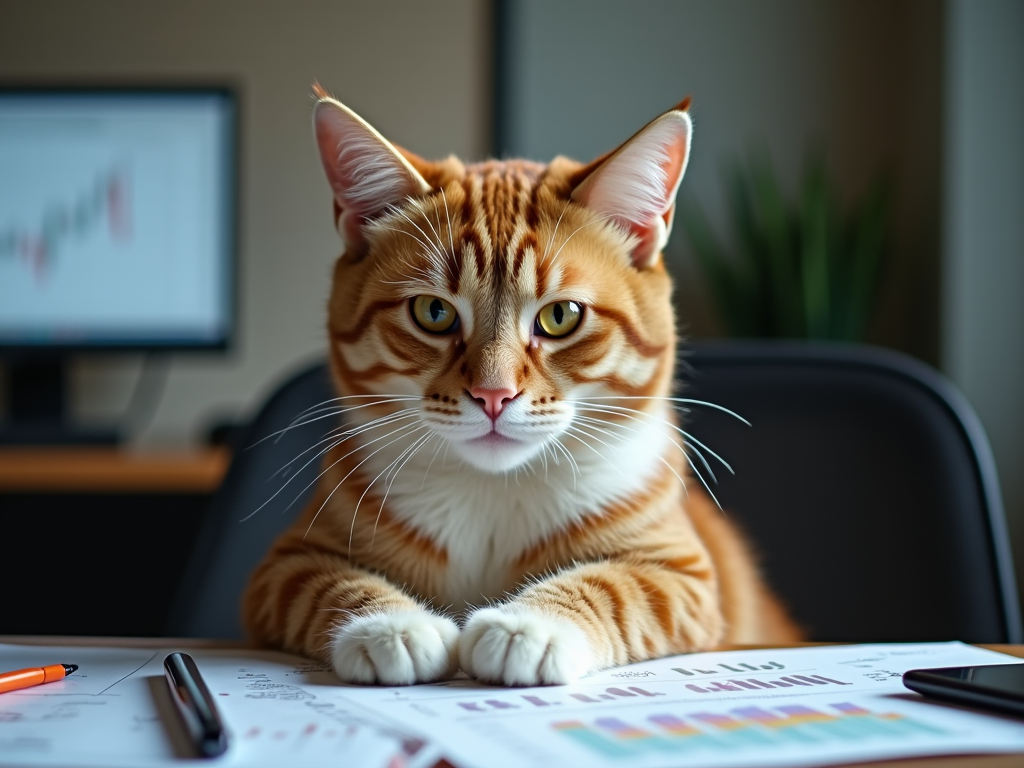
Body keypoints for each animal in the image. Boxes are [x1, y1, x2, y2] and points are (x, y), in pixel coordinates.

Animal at [241, 87, 798, 688]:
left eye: (561, 316)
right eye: (433, 312)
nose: (493, 395)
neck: (493, 493)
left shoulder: (683, 573)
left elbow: (614, 585)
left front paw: (527, 627)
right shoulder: (284, 565)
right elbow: (331, 584)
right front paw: (392, 628)